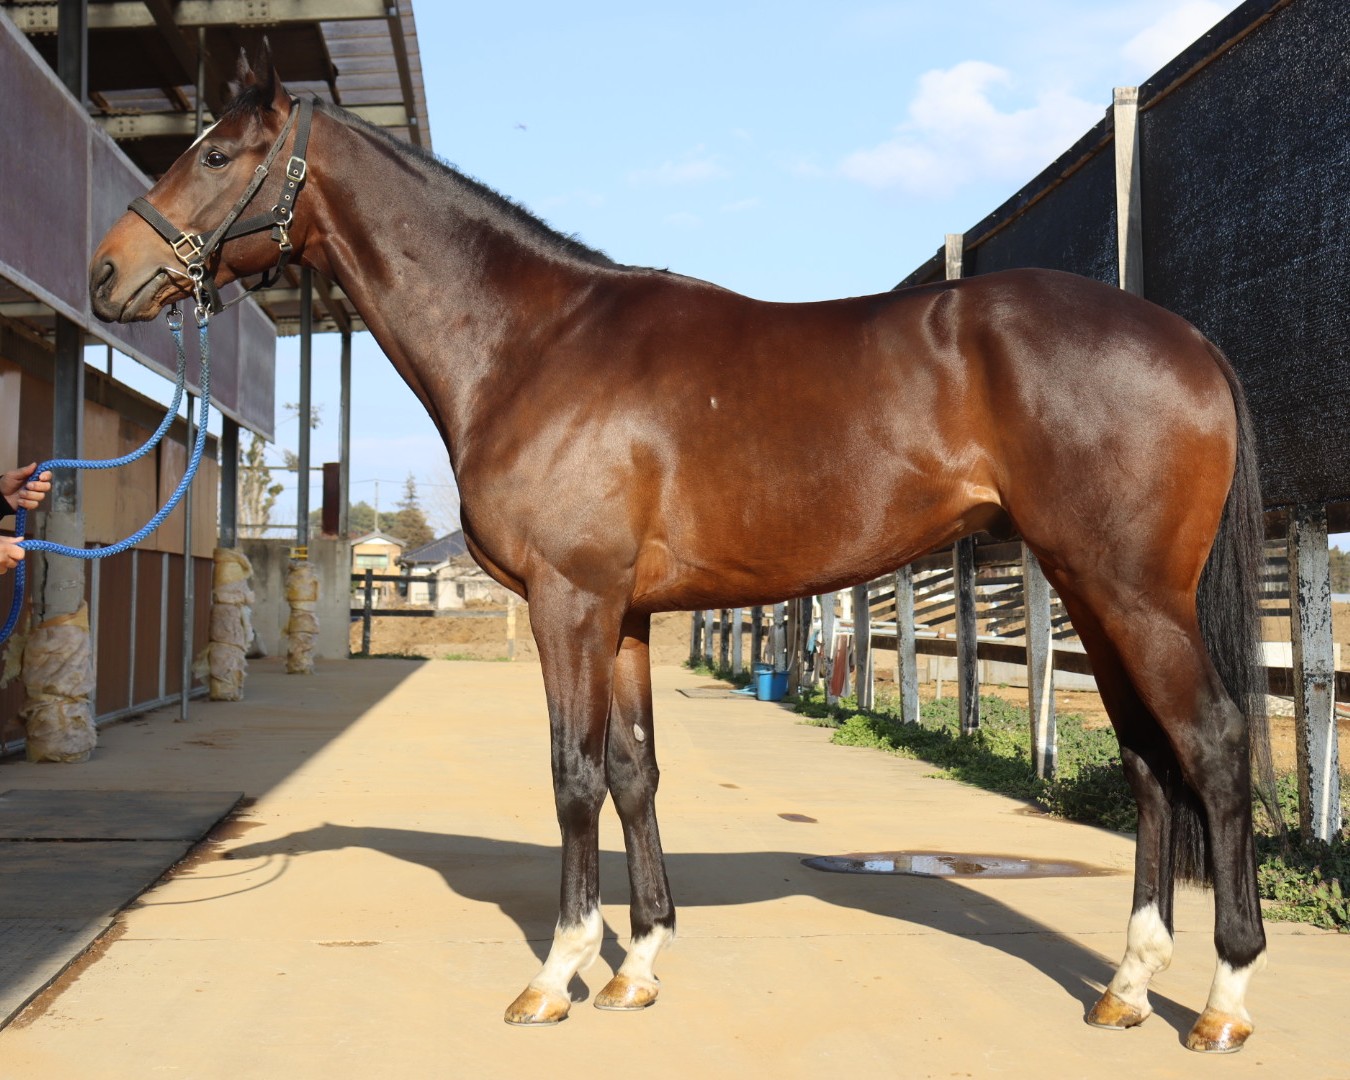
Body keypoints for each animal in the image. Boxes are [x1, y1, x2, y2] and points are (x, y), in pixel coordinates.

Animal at [89, 54, 1275, 1054]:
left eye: (217, 155)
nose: (107, 273)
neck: (532, 343)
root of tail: (1191, 342)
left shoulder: (570, 602)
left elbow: (572, 775)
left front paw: (556, 975)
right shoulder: (623, 615)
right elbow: (634, 771)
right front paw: (638, 964)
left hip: (1134, 593)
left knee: (1212, 746)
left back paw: (1222, 999)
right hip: (1087, 588)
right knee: (1149, 762)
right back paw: (1128, 985)